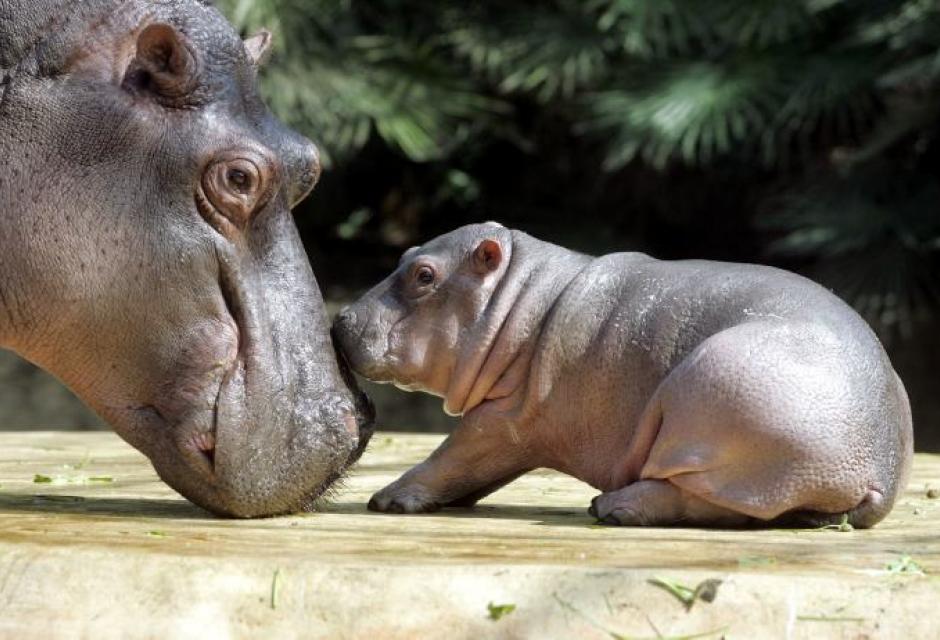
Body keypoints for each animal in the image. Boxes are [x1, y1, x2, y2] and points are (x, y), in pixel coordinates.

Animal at [334, 222, 916, 528]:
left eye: (423, 275)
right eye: (407, 253)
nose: (339, 320)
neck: (517, 300)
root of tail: (879, 466)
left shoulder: (503, 420)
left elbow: (452, 456)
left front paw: (387, 498)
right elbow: (472, 475)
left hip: (710, 403)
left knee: (700, 500)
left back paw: (612, 507)